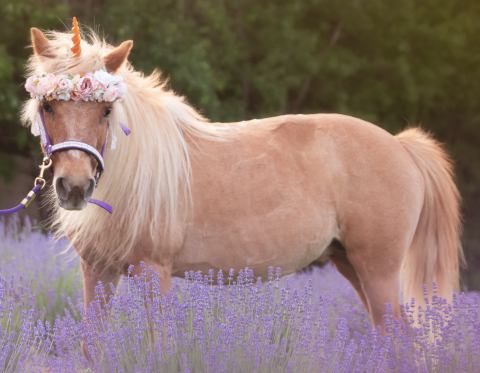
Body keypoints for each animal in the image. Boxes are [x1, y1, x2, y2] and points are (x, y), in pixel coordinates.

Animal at [21, 25, 462, 328]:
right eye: (47, 105)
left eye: (107, 111)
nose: (75, 187)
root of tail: (400, 145)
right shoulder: (97, 272)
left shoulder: (152, 272)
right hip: (350, 263)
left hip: (378, 270)